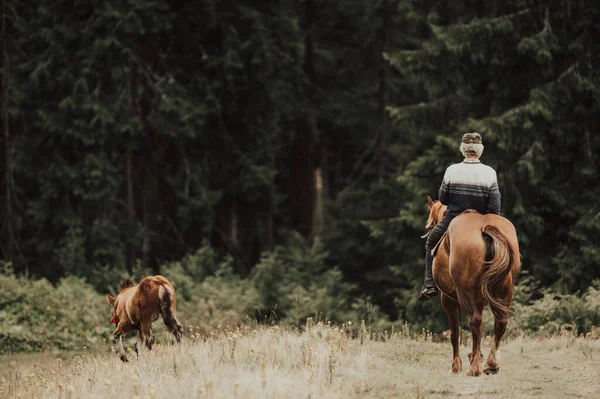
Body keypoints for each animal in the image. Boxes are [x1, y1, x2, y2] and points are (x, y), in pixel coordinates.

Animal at [426, 197, 520, 378]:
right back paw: (491, 364)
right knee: (500, 322)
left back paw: (474, 369)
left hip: (464, 292)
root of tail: (485, 227)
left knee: (475, 321)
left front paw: (456, 367)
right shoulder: (480, 300)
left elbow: (455, 333)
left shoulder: (448, 300)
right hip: (505, 290)